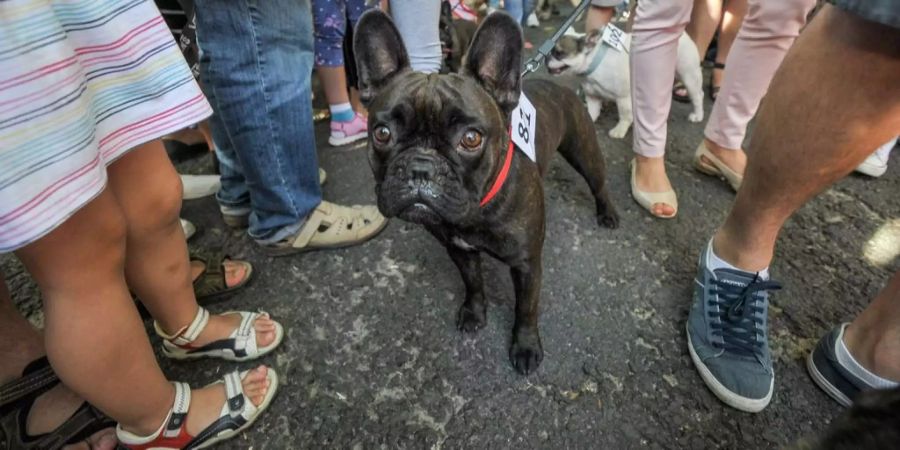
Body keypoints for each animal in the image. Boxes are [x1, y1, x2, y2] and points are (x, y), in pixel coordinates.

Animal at [544, 26, 708, 139]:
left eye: (559, 53)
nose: (546, 57)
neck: (594, 64)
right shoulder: (593, 97)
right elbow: (592, 112)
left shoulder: (623, 98)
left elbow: (625, 115)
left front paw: (619, 130)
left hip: (688, 75)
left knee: (698, 95)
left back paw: (698, 115)